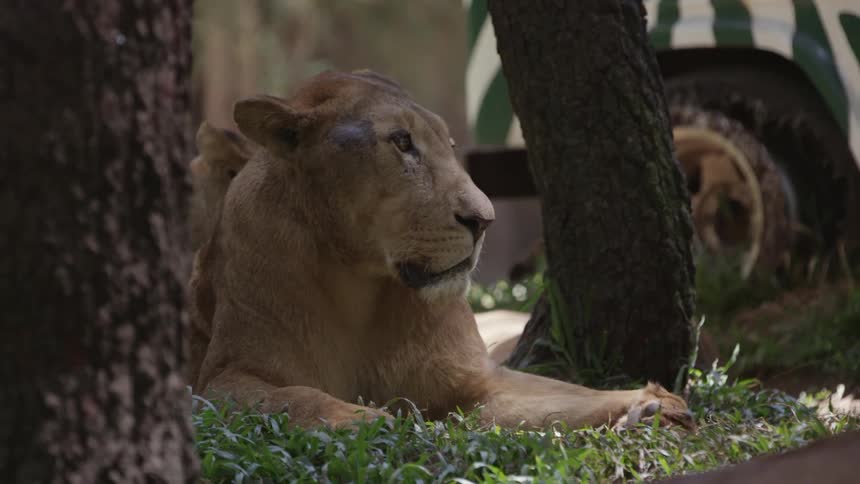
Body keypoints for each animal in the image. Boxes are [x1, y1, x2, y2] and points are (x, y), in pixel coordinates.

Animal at [190, 69, 695, 431]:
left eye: (449, 144)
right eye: (401, 142)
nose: (484, 220)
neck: (360, 281)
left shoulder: (473, 386)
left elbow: (560, 397)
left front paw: (649, 405)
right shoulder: (223, 379)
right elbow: (293, 397)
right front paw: (360, 419)